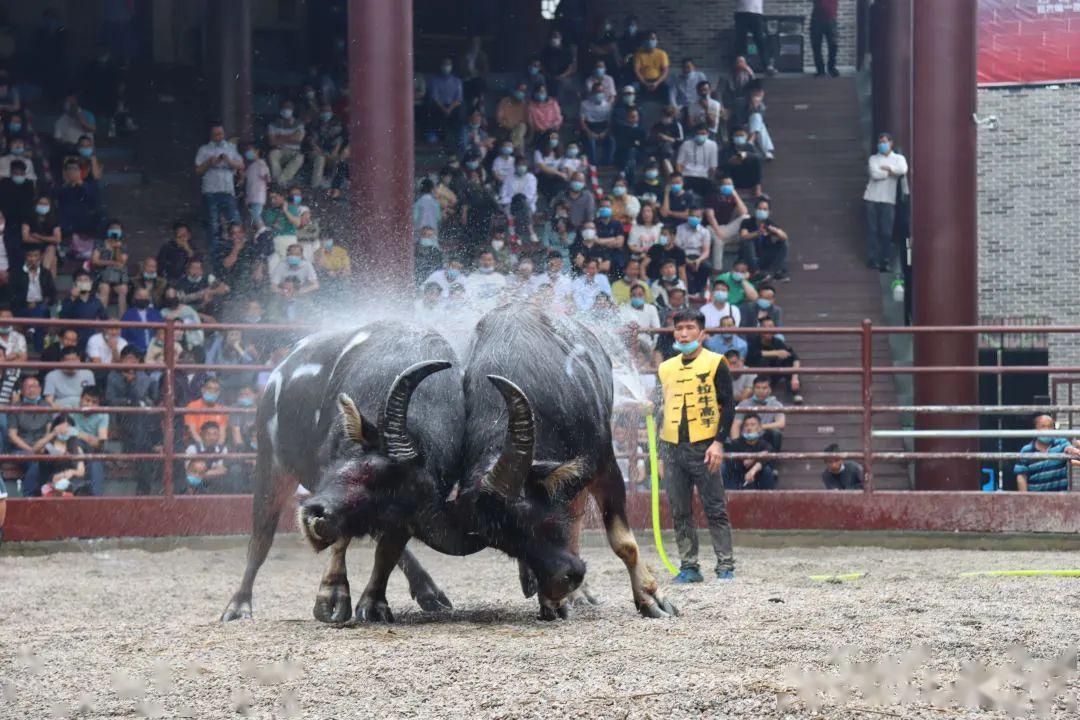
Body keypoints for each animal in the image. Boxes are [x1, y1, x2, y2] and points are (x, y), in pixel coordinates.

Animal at [219, 323, 473, 621]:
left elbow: (387, 551)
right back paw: (238, 606)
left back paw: (428, 592)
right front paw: (332, 596)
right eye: (367, 468)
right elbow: (342, 542)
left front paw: (373, 603)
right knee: (261, 538)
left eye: (385, 507)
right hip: (271, 464)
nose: (317, 520)